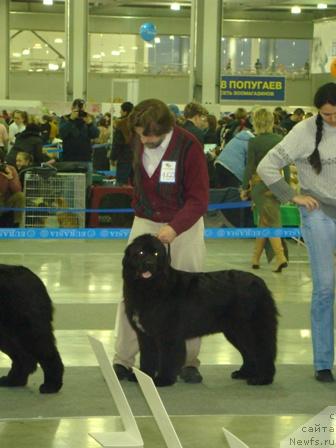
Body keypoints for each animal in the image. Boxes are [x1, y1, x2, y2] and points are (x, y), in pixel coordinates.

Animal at [0, 264, 63, 394]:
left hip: (26, 330)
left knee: (48, 354)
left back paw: (51, 385)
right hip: (7, 335)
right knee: (24, 359)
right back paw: (13, 381)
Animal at [123, 233, 278, 386]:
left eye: (156, 253)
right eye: (140, 252)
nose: (149, 264)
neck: (151, 287)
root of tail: (260, 283)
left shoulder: (168, 334)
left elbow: (167, 358)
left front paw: (163, 380)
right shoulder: (145, 335)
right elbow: (148, 358)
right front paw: (143, 377)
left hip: (250, 328)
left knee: (263, 351)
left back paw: (262, 379)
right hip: (235, 331)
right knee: (249, 353)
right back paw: (244, 373)